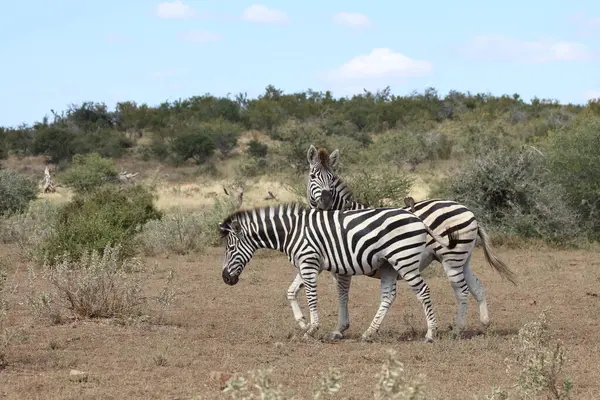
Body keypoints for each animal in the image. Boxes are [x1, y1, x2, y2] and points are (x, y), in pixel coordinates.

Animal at [220, 205, 460, 342]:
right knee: (388, 297)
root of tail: (418, 219)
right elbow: (290, 292)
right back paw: (368, 333)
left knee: (424, 292)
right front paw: (302, 323)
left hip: (405, 259)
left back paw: (431, 333)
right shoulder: (307, 263)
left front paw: (312, 329)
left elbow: (311, 297)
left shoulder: (308, 262)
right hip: (389, 265)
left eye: (230, 248)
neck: (291, 232)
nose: (225, 278)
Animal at [284, 145, 516, 340]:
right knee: (476, 287)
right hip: (462, 259)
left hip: (451, 259)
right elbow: (292, 290)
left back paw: (456, 330)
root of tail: (470, 212)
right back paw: (483, 322)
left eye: (331, 178)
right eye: (313, 176)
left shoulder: (339, 264)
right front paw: (304, 323)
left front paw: (338, 329)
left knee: (462, 291)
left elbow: (341, 294)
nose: (325, 201)